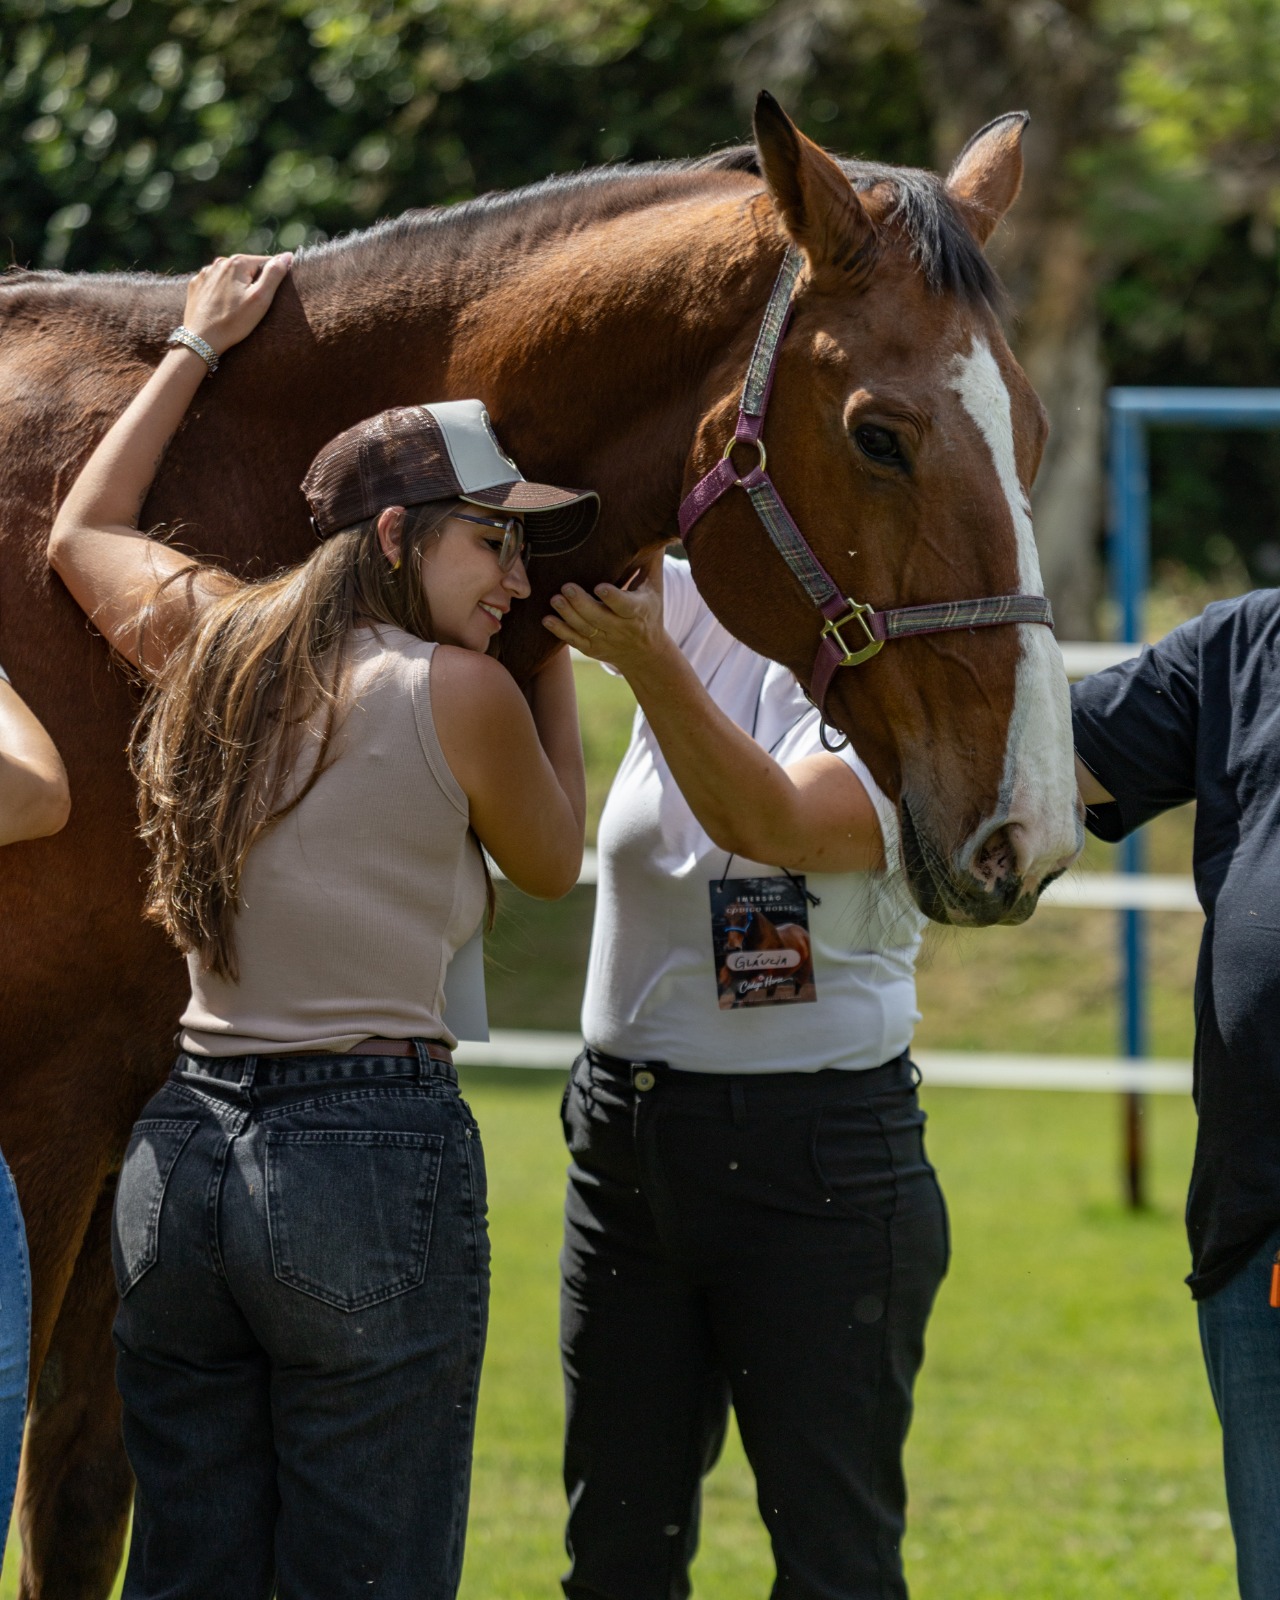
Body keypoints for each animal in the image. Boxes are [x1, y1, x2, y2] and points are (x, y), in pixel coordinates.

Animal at [0, 93, 1079, 1594]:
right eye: (879, 435)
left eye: (1028, 431)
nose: (1029, 825)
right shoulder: (45, 1133)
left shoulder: (138, 1132)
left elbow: (82, 1497)